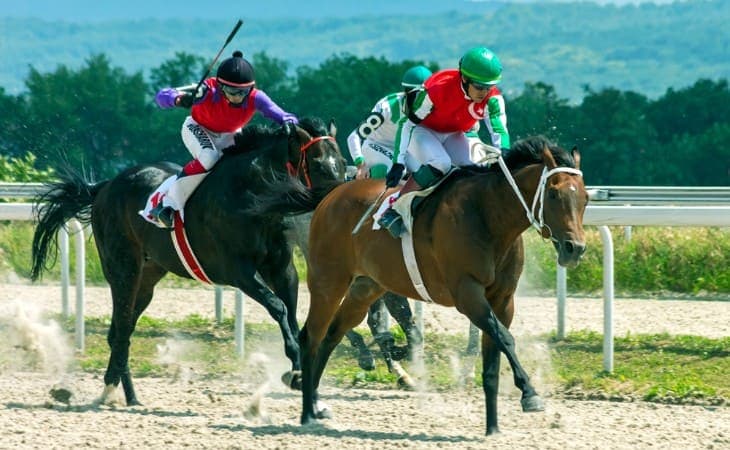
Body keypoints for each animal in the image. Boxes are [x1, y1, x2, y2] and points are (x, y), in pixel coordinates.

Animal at [29, 117, 347, 406]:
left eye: (342, 163)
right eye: (319, 164)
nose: (337, 202)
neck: (252, 196)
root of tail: (105, 186)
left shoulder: (282, 269)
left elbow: (291, 312)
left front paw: (300, 372)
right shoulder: (238, 271)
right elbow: (278, 307)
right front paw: (295, 369)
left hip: (148, 277)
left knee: (121, 330)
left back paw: (129, 396)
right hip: (122, 270)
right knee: (121, 329)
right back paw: (110, 390)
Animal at [292, 135, 588, 434]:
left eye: (585, 198)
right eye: (553, 194)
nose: (575, 248)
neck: (488, 216)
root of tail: (334, 194)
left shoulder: (504, 300)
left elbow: (493, 359)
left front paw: (493, 427)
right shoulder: (467, 293)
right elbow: (505, 338)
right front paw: (530, 394)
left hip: (366, 287)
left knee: (332, 334)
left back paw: (316, 403)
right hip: (328, 281)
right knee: (311, 336)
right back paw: (306, 411)